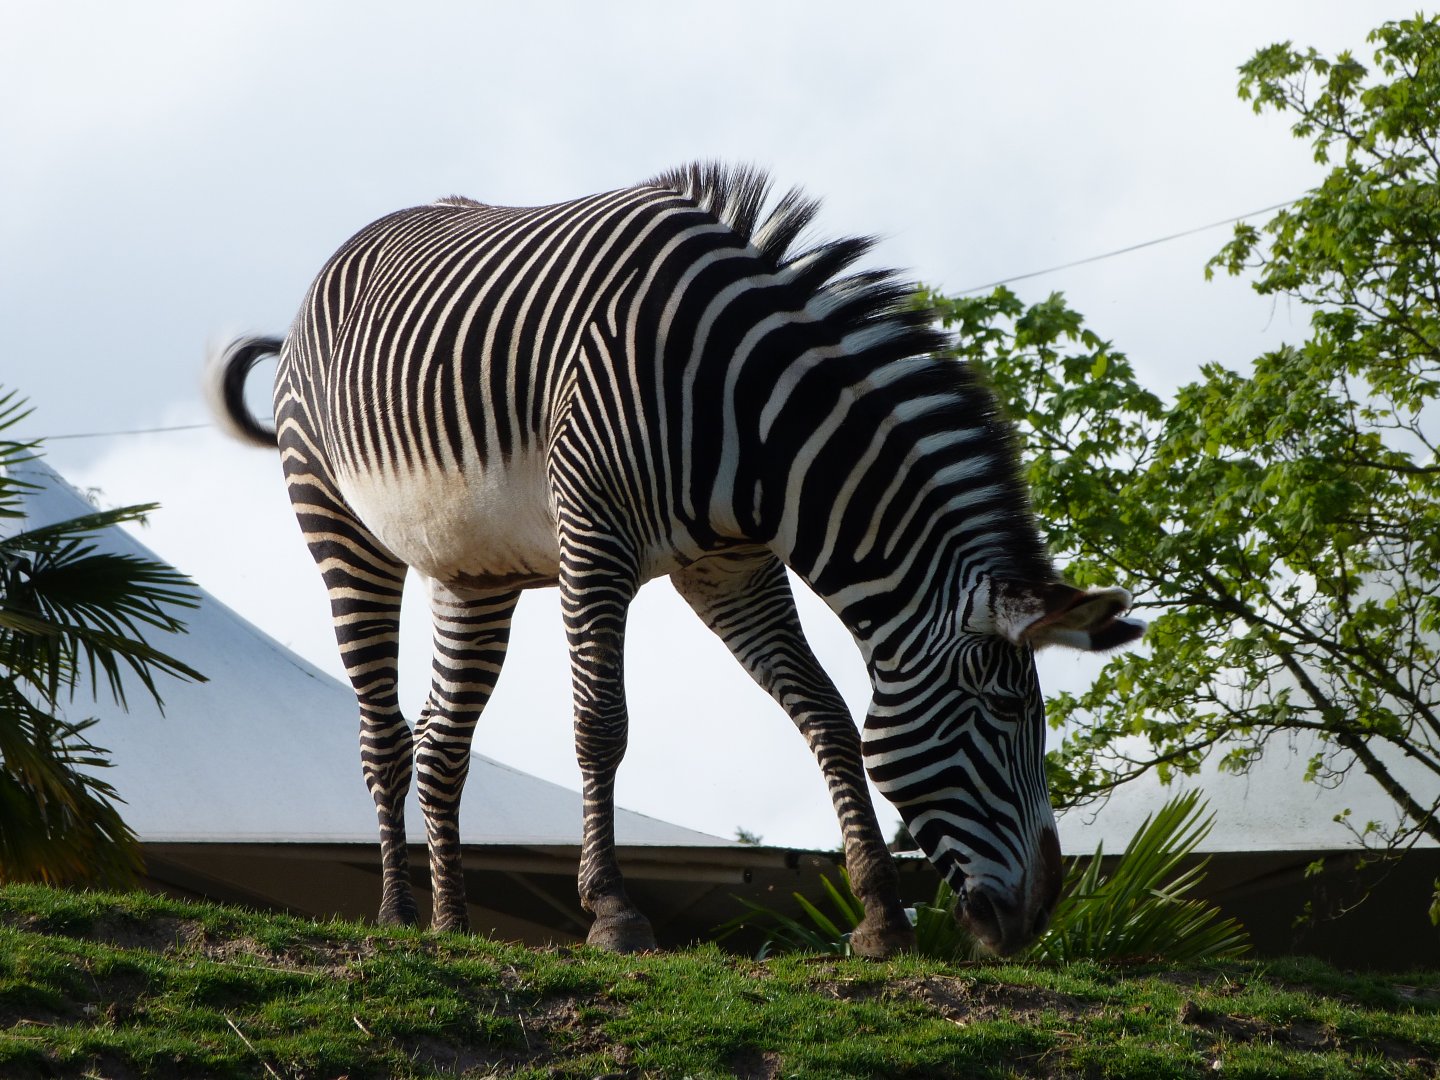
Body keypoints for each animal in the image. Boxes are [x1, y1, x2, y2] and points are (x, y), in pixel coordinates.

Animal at [209, 163, 1143, 957]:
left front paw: (880, 918)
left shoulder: (730, 567)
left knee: (442, 740)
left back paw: (454, 926)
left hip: (473, 570)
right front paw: (614, 913)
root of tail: (342, 257)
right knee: (384, 732)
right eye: (1005, 711)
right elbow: (602, 724)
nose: (1037, 918)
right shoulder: (595, 539)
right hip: (341, 526)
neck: (754, 422)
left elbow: (827, 714)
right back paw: (399, 916)